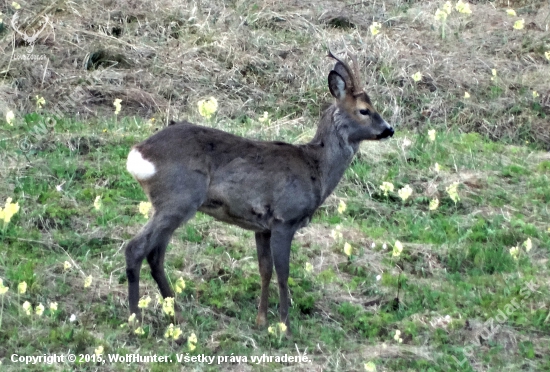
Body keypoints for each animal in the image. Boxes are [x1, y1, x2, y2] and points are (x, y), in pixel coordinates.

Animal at [126, 50, 392, 332]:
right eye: (364, 110)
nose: (389, 129)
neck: (316, 168)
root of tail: (139, 153)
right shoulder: (285, 218)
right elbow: (283, 273)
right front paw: (285, 325)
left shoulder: (262, 226)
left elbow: (265, 270)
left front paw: (261, 320)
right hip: (178, 198)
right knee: (136, 248)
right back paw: (136, 319)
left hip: (172, 203)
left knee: (155, 254)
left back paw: (177, 315)